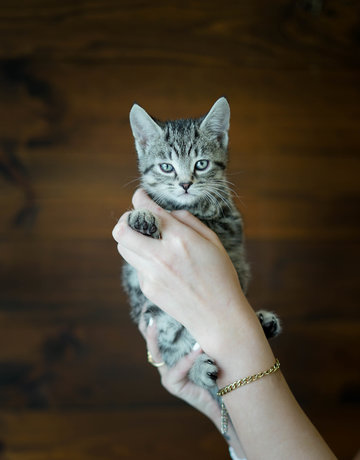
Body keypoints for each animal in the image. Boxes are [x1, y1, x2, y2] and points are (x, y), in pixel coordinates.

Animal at [122, 97, 280, 388]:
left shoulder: (229, 222)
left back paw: (263, 323)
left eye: (201, 164)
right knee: (176, 350)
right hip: (158, 319)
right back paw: (199, 368)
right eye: (166, 167)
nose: (185, 184)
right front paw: (142, 216)